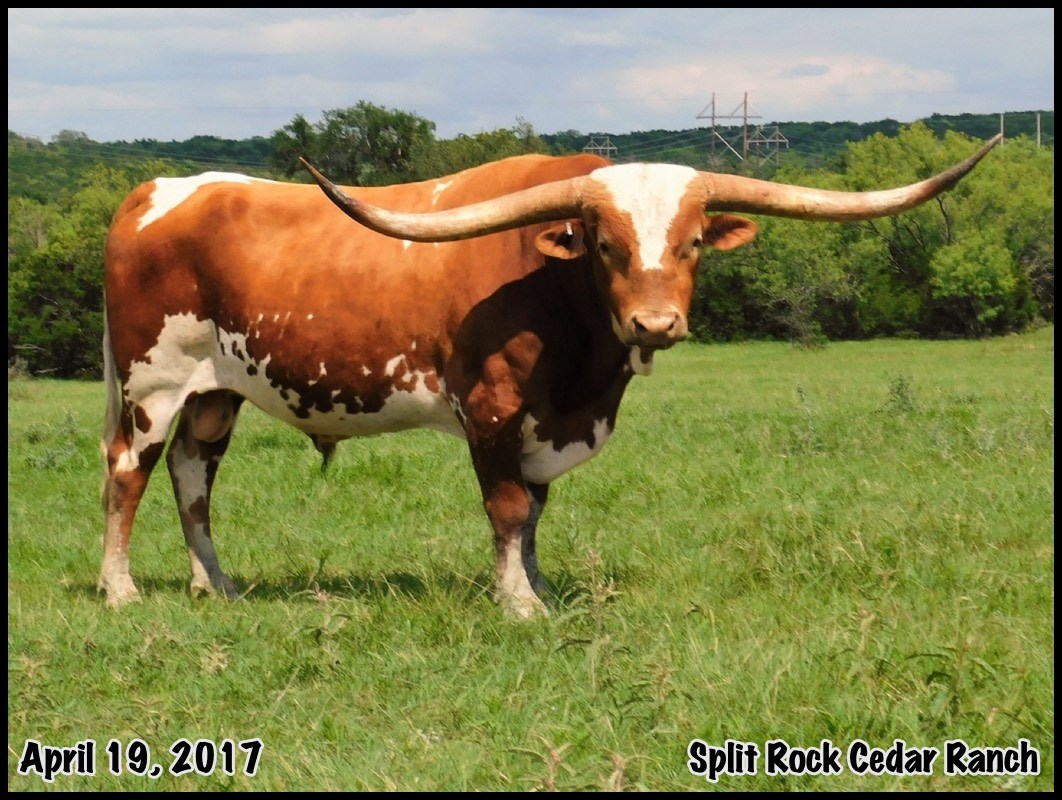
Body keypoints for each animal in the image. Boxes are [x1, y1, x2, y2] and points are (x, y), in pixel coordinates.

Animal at [99, 134, 1001, 617]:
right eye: (603, 242)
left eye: (693, 243)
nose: (655, 324)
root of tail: (154, 191)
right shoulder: (494, 408)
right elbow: (506, 507)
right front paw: (520, 603)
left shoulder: (547, 421)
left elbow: (534, 512)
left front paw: (534, 581)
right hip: (152, 386)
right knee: (128, 473)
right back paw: (120, 589)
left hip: (217, 390)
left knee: (192, 476)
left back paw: (217, 585)